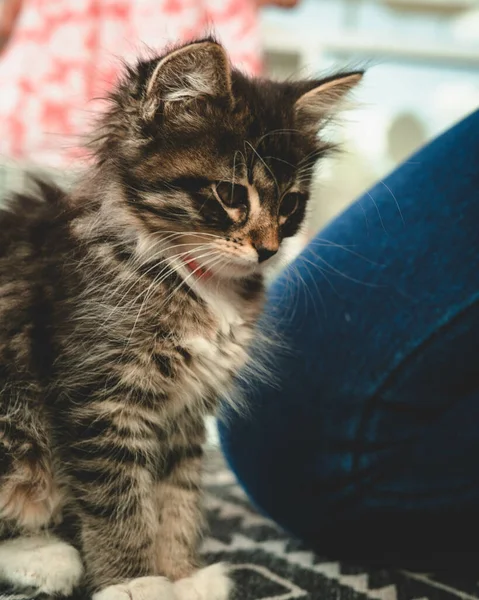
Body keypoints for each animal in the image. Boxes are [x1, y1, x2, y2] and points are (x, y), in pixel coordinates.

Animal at [0, 38, 362, 600]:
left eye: (290, 204)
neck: (197, 283)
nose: (268, 249)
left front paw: (180, 575)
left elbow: (175, 498)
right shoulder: (101, 397)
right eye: (231, 195)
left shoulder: (186, 412)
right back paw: (50, 557)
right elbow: (120, 502)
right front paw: (135, 581)